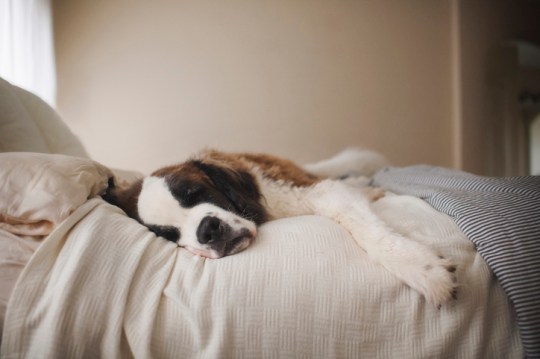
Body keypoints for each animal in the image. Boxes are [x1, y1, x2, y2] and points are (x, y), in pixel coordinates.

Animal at [105, 149, 456, 306]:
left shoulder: (317, 191)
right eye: (169, 235)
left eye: (196, 193)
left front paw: (422, 269)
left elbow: (363, 225)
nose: (208, 230)